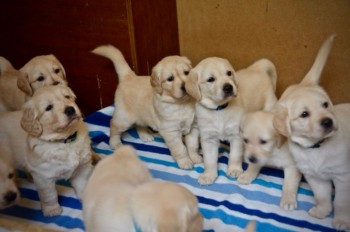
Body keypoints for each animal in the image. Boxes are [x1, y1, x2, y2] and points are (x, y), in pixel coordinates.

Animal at [0, 85, 94, 218]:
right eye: (48, 108)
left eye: (67, 97)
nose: (70, 109)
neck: (65, 141)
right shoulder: (44, 177)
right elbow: (49, 195)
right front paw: (52, 210)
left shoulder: (82, 168)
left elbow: (83, 185)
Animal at [274, 34, 350, 230]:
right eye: (304, 114)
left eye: (325, 105)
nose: (328, 121)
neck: (316, 147)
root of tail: (303, 83)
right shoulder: (314, 177)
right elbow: (322, 196)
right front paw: (322, 211)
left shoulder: (343, 177)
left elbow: (341, 202)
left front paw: (341, 220)